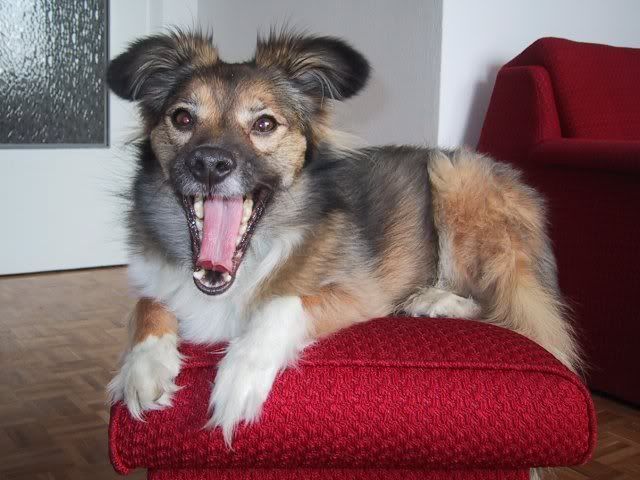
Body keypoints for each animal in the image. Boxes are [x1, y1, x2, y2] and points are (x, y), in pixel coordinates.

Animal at [106, 29, 580, 446]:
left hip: (456, 178)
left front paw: (240, 372)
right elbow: (147, 305)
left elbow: (283, 303)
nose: (208, 164)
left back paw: (436, 299)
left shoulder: (360, 293)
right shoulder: (159, 283)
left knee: (500, 304)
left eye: (264, 124)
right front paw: (144, 366)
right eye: (182, 118)